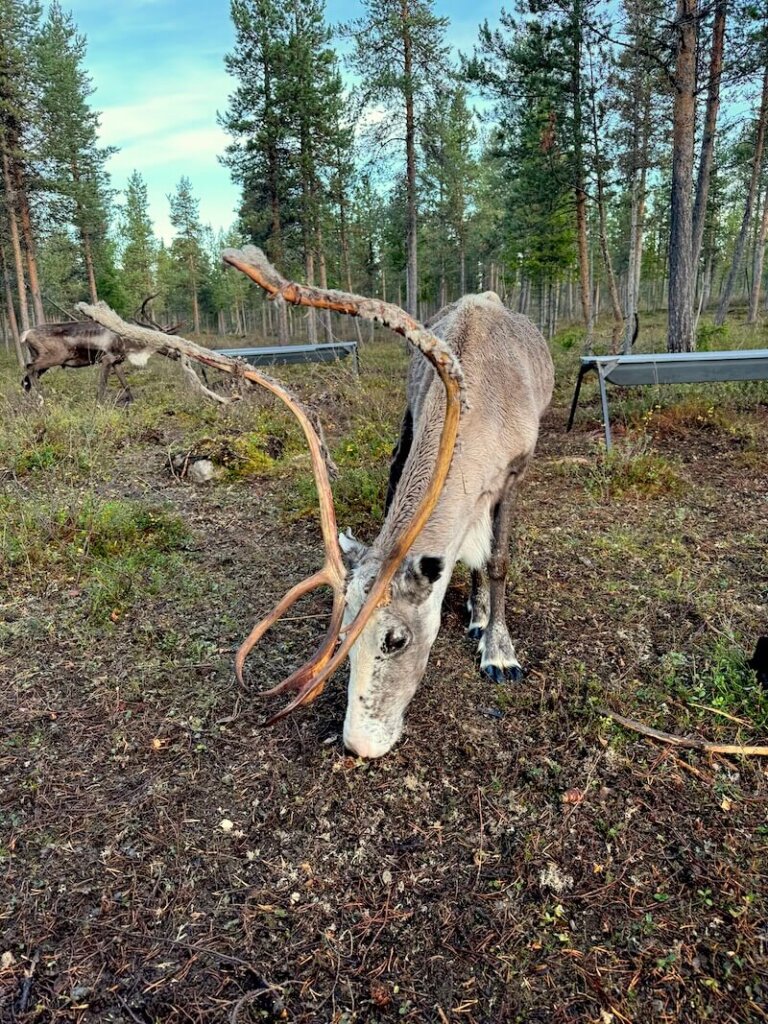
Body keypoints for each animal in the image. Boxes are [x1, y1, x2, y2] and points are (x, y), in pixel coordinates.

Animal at [77, 247, 554, 760]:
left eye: (396, 639)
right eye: (342, 635)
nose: (358, 744)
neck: (483, 412)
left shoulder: (515, 470)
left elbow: (498, 561)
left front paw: (499, 651)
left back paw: (481, 615)